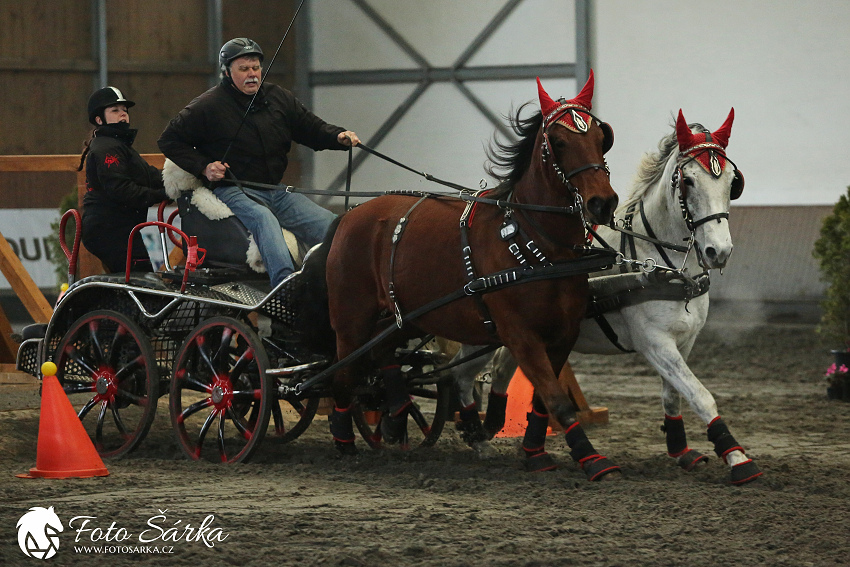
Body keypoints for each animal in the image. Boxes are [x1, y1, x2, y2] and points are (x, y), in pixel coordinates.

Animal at [318, 70, 616, 480]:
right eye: (557, 141)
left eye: (602, 138)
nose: (603, 203)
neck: (539, 244)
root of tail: (349, 215)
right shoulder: (521, 335)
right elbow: (557, 398)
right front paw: (592, 458)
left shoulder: (562, 334)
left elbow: (544, 400)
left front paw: (536, 452)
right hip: (351, 320)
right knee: (343, 375)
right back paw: (345, 440)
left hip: (406, 316)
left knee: (382, 352)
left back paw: (397, 417)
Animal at [450, 108, 760, 486]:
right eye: (687, 181)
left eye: (732, 182)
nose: (719, 251)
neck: (657, 263)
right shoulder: (654, 343)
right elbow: (701, 396)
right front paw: (737, 457)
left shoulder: (684, 342)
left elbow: (674, 396)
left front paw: (681, 450)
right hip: (483, 333)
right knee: (460, 375)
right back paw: (476, 435)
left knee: (500, 368)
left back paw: (494, 431)